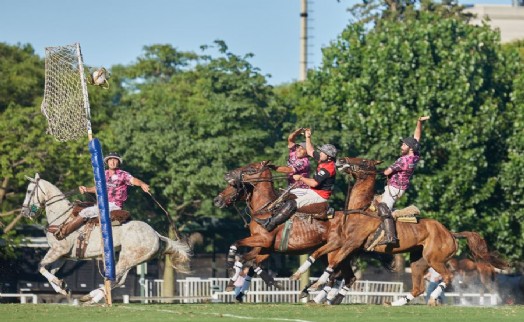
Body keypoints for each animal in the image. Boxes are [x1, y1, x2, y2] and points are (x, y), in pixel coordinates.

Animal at [22, 174, 192, 304]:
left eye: (29, 191)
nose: (24, 212)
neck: (62, 217)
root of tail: (156, 234)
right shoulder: (63, 255)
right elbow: (49, 270)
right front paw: (63, 288)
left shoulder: (57, 250)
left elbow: (41, 267)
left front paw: (60, 284)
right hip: (132, 259)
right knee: (119, 280)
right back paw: (91, 297)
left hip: (126, 257)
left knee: (115, 278)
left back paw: (91, 297)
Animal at [290, 157, 508, 306]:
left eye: (363, 161)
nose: (342, 160)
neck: (360, 209)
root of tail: (451, 233)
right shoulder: (342, 243)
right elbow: (319, 254)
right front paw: (300, 277)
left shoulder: (351, 244)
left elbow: (333, 262)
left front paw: (315, 286)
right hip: (418, 261)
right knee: (419, 287)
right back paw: (396, 302)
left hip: (435, 259)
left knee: (447, 278)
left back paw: (432, 298)